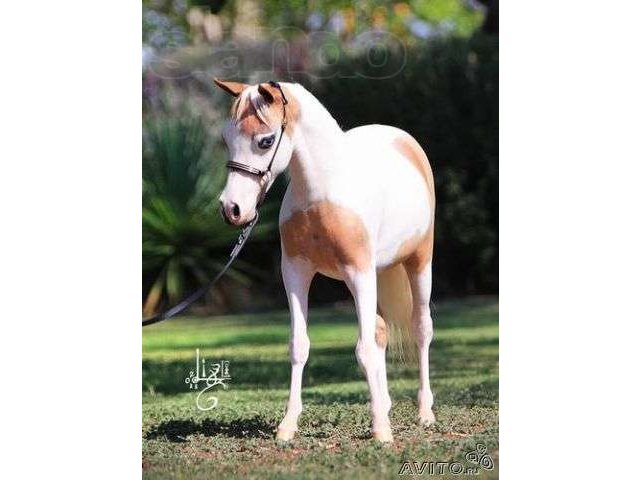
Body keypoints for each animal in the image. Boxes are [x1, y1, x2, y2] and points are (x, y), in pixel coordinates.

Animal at [215, 79, 436, 442]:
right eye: (226, 137)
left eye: (265, 141)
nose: (232, 209)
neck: (322, 193)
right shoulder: (295, 273)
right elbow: (299, 345)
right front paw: (287, 425)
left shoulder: (359, 272)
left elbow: (363, 350)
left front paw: (381, 431)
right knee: (379, 331)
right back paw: (386, 404)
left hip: (418, 261)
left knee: (421, 328)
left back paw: (424, 412)